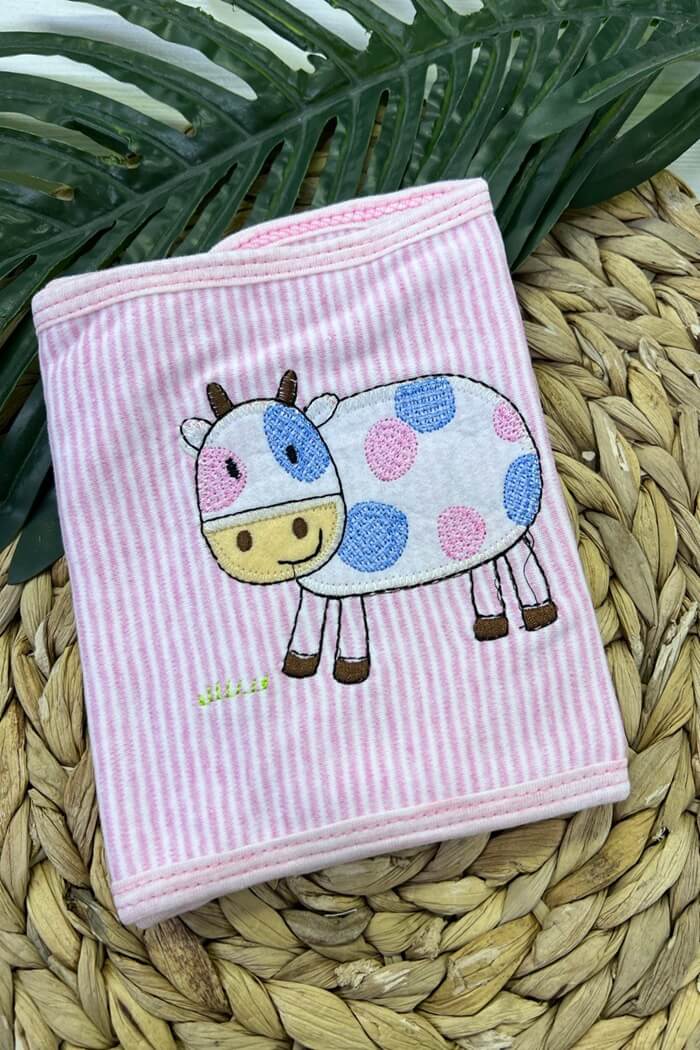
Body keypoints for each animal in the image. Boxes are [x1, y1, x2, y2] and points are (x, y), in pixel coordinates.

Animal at [181, 370, 557, 684]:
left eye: (293, 451)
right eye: (226, 469)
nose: (270, 535)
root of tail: (504, 404)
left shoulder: (349, 575)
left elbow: (348, 622)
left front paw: (349, 667)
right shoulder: (320, 580)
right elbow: (309, 616)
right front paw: (299, 662)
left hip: (513, 512)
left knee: (520, 557)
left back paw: (538, 611)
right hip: (478, 528)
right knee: (483, 563)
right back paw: (491, 622)